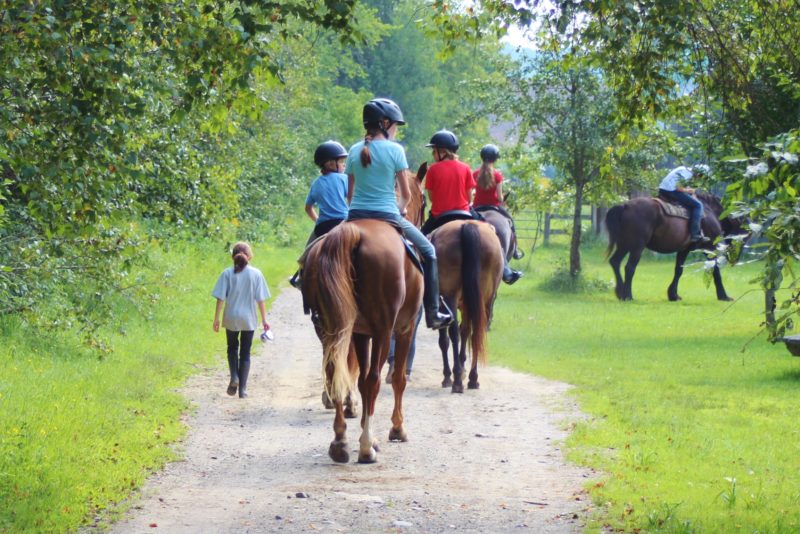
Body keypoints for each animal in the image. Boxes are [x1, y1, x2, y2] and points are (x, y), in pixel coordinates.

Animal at [432, 221, 500, 394]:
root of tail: (467, 225)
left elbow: (445, 340)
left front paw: (449, 376)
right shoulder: (469, 306)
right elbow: (466, 332)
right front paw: (463, 368)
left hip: (450, 298)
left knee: (453, 333)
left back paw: (456, 380)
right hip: (485, 301)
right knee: (477, 332)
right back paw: (473, 378)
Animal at [608, 192, 744, 302]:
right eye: (743, 236)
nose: (735, 260)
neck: (711, 212)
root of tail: (625, 206)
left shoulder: (684, 250)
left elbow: (678, 270)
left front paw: (673, 295)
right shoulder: (709, 248)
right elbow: (715, 270)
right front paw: (723, 296)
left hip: (625, 244)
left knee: (615, 261)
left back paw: (620, 292)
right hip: (637, 247)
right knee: (629, 268)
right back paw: (628, 296)